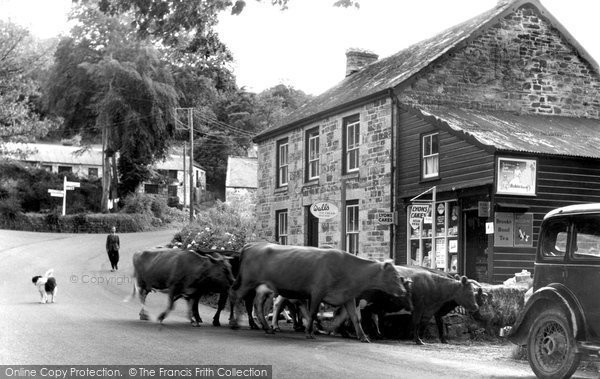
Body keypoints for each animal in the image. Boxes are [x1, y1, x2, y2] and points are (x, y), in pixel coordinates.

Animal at [229, 243, 408, 344]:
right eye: (394, 275)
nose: (404, 291)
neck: (349, 269)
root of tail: (251, 246)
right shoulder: (317, 292)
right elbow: (313, 312)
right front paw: (309, 332)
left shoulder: (348, 296)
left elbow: (355, 318)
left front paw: (363, 337)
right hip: (247, 282)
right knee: (235, 296)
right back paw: (234, 323)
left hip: (264, 288)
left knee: (258, 305)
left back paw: (267, 328)